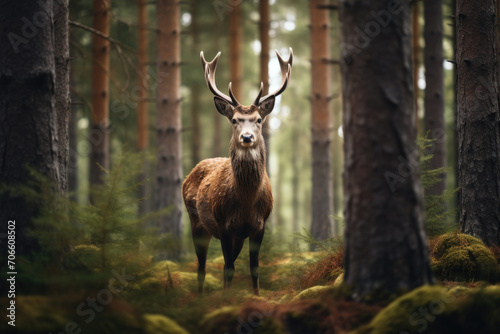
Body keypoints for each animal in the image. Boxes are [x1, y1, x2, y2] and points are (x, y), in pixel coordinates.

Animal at [184, 47, 292, 294]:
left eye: (259, 119)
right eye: (234, 120)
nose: (247, 137)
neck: (246, 201)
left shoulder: (259, 226)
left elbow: (253, 268)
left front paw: (256, 295)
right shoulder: (223, 223)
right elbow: (229, 268)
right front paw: (226, 298)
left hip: (236, 236)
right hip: (196, 222)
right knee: (202, 266)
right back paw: (200, 296)